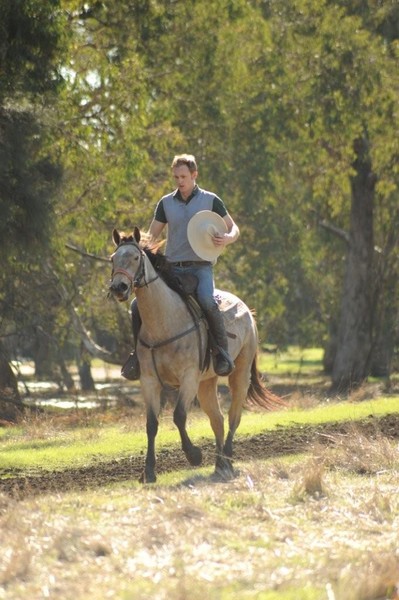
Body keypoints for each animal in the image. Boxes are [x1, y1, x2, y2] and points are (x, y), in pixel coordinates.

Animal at [109, 226, 284, 482]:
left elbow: (179, 416)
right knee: (217, 420)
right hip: (206, 382)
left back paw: (227, 461)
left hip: (239, 375)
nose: (118, 287)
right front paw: (149, 471)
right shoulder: (149, 381)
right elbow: (151, 423)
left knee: (233, 416)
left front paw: (194, 455)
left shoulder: (188, 377)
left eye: (135, 257)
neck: (164, 322)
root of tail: (247, 310)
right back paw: (219, 464)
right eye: (112, 259)